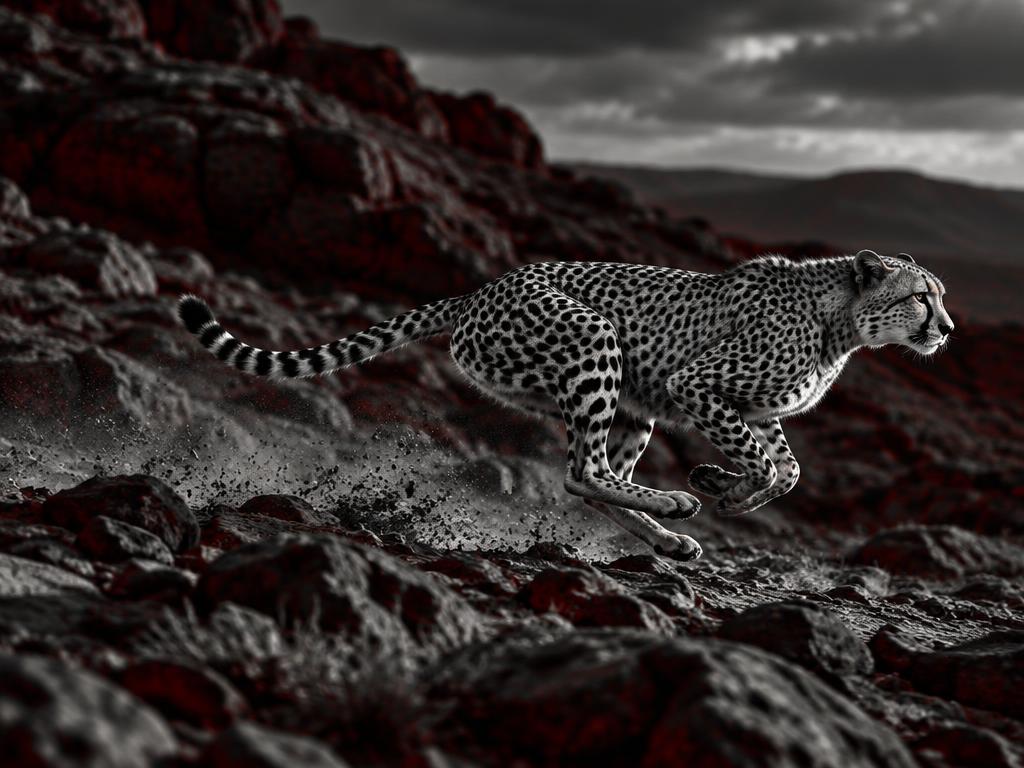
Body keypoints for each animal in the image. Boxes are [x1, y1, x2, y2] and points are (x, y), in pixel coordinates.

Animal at [177, 249, 953, 561]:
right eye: (922, 296)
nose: (946, 329)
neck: (842, 321)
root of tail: (486, 287)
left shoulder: (749, 410)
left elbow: (786, 469)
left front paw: (723, 485)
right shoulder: (695, 386)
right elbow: (769, 466)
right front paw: (719, 486)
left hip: (631, 404)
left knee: (589, 477)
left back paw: (667, 534)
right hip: (596, 342)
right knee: (583, 469)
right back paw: (674, 505)